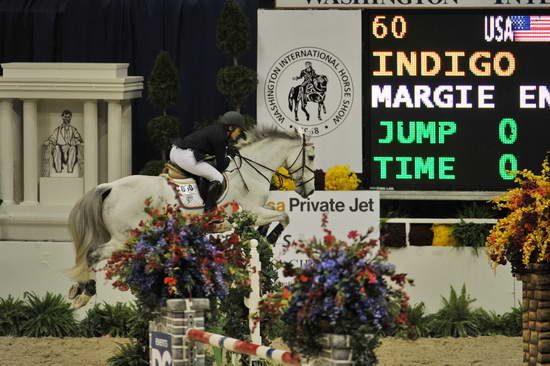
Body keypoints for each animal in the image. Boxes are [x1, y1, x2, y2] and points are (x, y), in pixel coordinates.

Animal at [66, 128, 314, 306]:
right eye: (311, 157)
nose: (309, 191)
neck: (250, 172)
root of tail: (110, 187)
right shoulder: (253, 212)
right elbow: (284, 216)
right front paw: (270, 238)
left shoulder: (258, 211)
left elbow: (278, 213)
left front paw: (264, 235)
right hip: (123, 238)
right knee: (93, 254)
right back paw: (85, 293)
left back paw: (79, 290)